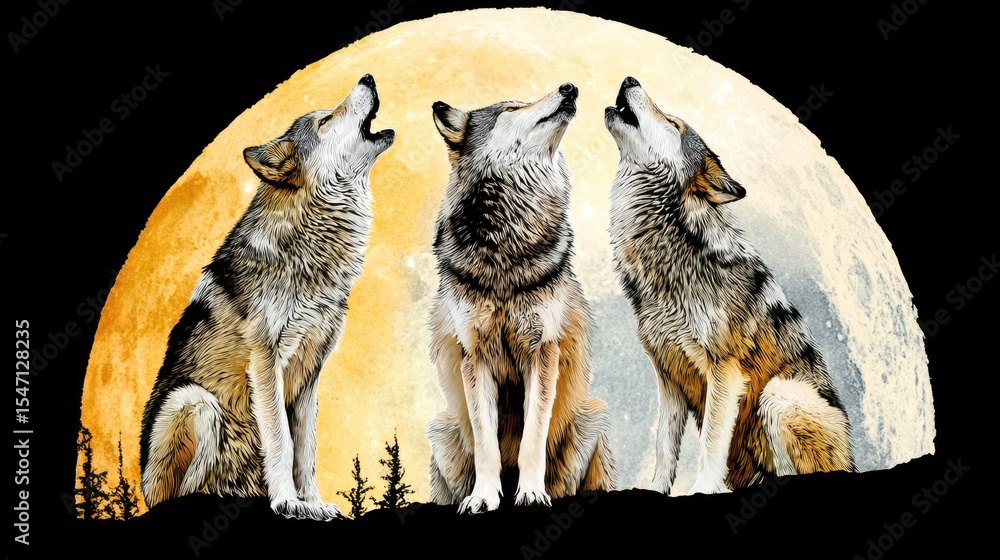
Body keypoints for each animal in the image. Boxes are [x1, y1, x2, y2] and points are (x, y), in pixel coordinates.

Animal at [139, 75, 394, 520]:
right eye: (325, 120)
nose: (367, 77)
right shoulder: (265, 362)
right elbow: (281, 442)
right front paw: (289, 502)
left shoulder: (311, 373)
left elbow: (305, 448)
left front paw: (314, 503)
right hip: (196, 402)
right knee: (183, 490)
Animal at [426, 83, 617, 513]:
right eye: (512, 108)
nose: (569, 87)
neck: (507, 244)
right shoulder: (474, 356)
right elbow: (486, 443)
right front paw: (483, 497)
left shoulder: (542, 352)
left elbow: (533, 436)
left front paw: (530, 493)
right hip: (441, 427)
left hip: (595, 415)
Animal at [605, 77, 853, 495]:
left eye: (672, 122)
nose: (629, 79)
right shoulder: (667, 377)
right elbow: (664, 447)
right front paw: (655, 489)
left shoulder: (724, 372)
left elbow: (710, 445)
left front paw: (702, 490)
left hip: (779, 395)